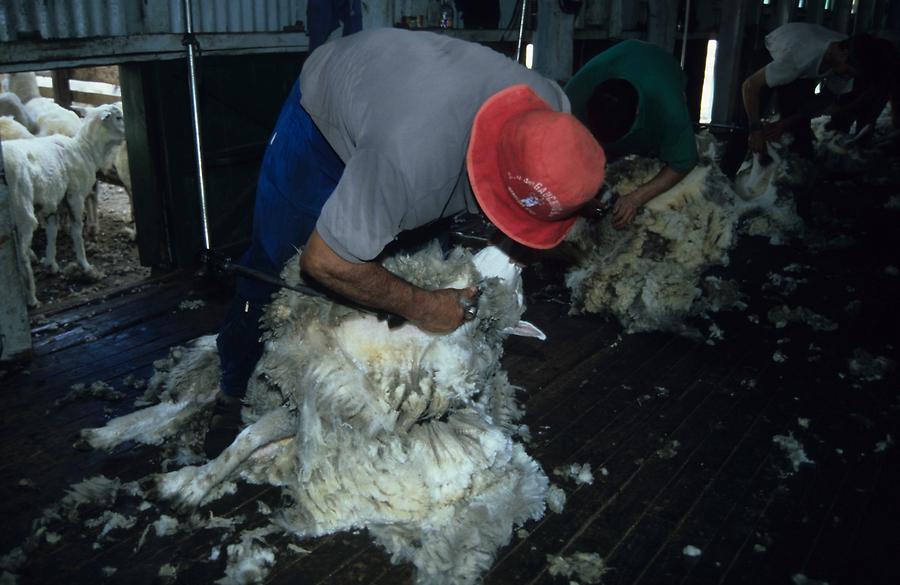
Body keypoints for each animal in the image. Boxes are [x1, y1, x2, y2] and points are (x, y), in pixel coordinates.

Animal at [4, 103, 125, 308]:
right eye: (118, 117)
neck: (86, 149)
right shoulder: (75, 197)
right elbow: (76, 231)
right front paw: (84, 265)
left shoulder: (54, 201)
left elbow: (52, 232)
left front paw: (51, 264)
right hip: (22, 209)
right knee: (22, 255)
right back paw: (31, 298)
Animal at [81, 242, 552, 584]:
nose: (515, 255)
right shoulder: (295, 387)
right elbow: (240, 441)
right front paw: (190, 482)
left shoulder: (303, 403)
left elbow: (245, 441)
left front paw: (189, 486)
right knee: (181, 402)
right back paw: (107, 433)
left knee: (185, 408)